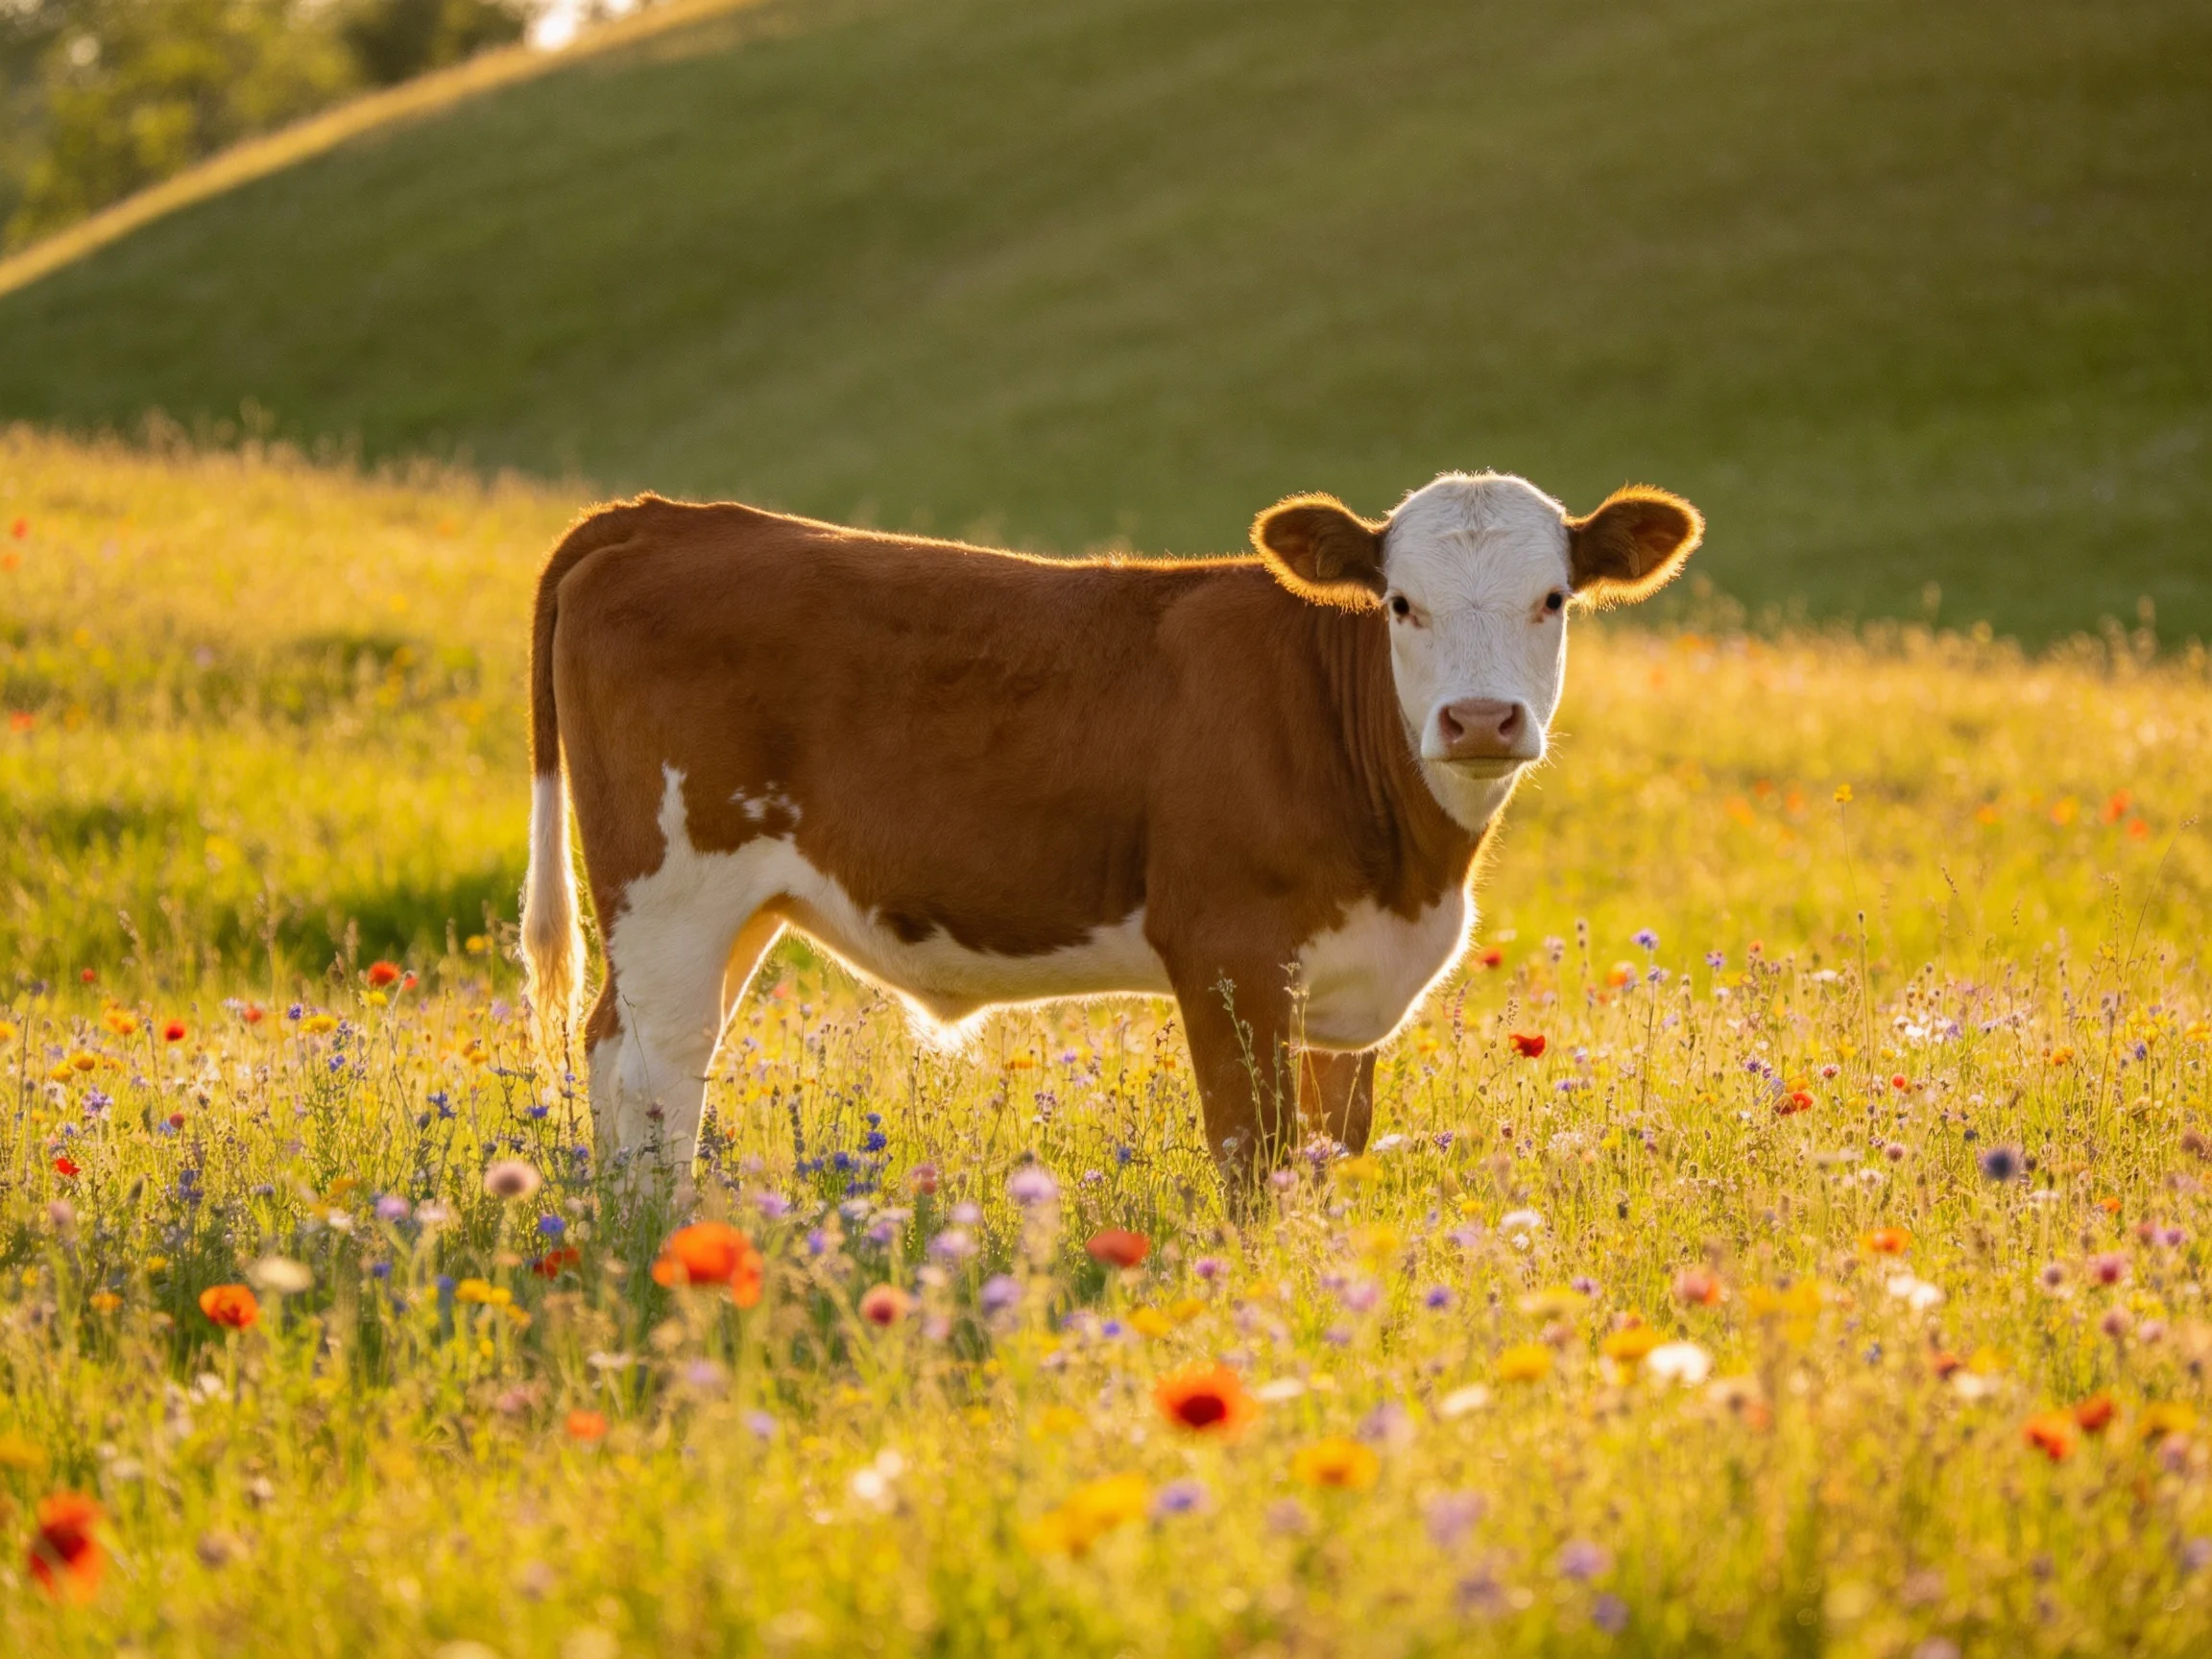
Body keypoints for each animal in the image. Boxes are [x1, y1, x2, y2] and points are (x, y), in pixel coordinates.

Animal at [520, 472, 1700, 1198]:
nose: (1481, 720)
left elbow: (1330, 1148)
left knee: (622, 1047)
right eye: (1400, 603)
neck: (1412, 870)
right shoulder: (1228, 954)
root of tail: (666, 514)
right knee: (658, 1070)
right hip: (673, 889)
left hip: (729, 908)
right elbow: (1254, 1157)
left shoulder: (1348, 988)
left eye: (1553, 599)